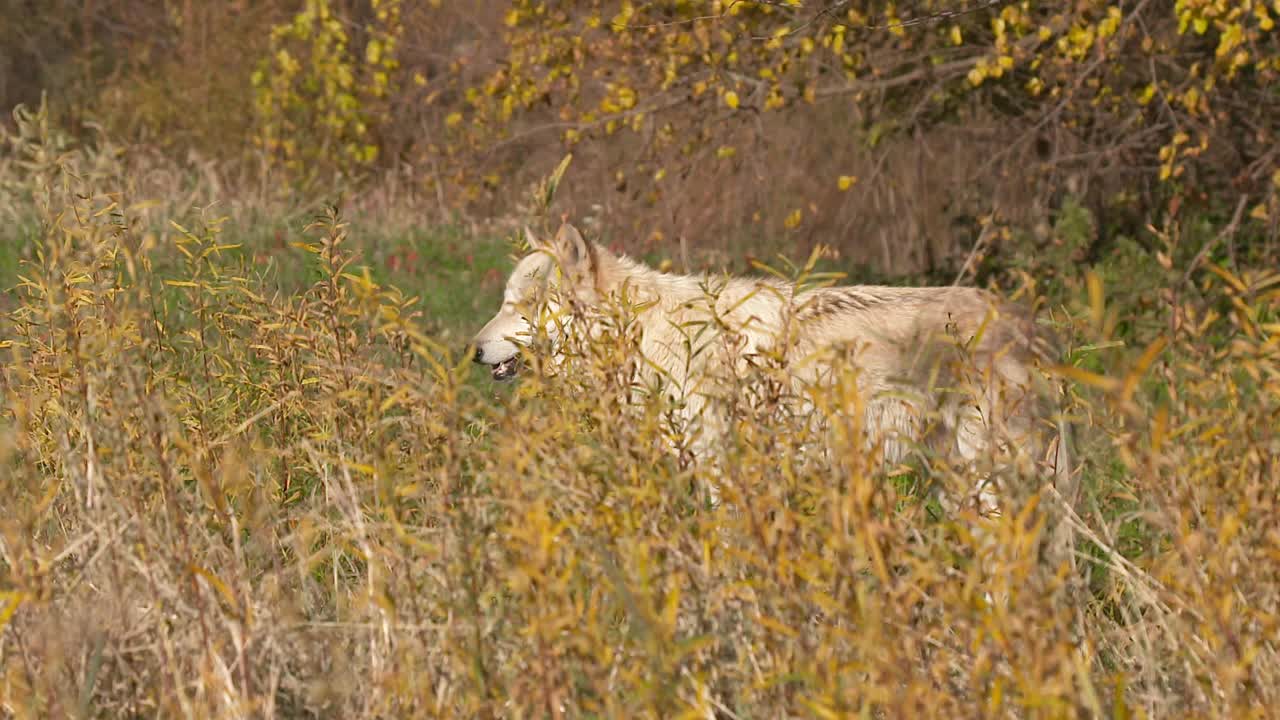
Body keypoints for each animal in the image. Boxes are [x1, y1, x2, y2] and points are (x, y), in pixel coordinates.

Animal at [471, 221, 1070, 512]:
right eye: (506, 302)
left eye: (520, 307)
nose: (470, 350)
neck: (649, 336)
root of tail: (1033, 327)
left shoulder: (721, 470)